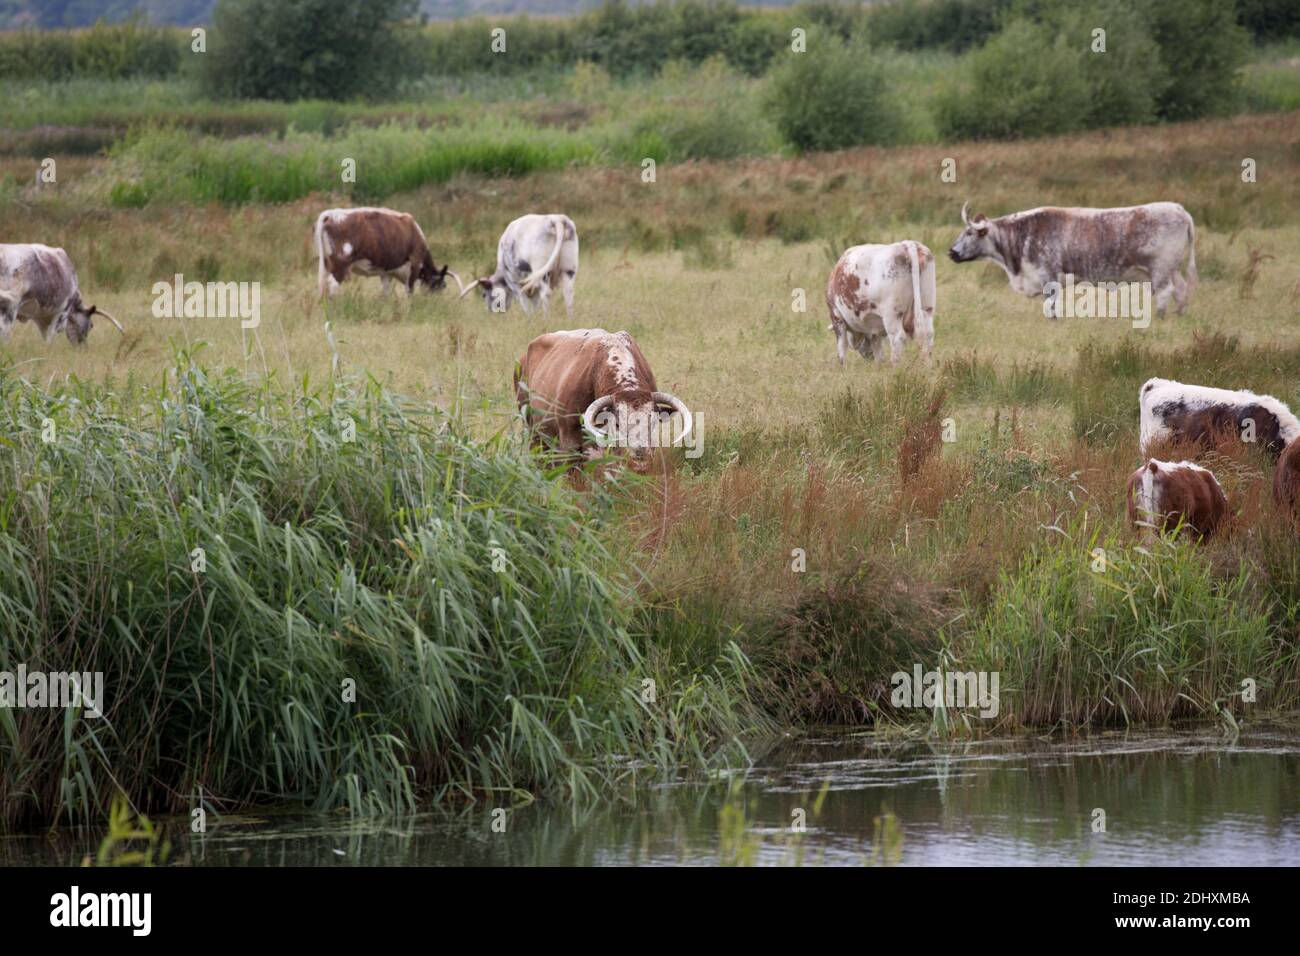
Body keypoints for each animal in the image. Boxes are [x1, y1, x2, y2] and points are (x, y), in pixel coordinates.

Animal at [314, 208, 452, 297]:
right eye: (440, 286)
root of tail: (331, 214)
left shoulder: (386, 273)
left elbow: (386, 292)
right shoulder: (415, 263)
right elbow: (409, 292)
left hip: (327, 264)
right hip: (340, 265)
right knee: (332, 285)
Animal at [946, 200, 1196, 316]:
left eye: (969, 233)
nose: (951, 252)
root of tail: (1179, 209)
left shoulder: (1049, 278)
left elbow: (1050, 307)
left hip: (1160, 268)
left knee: (1165, 292)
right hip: (1172, 269)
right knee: (1181, 288)